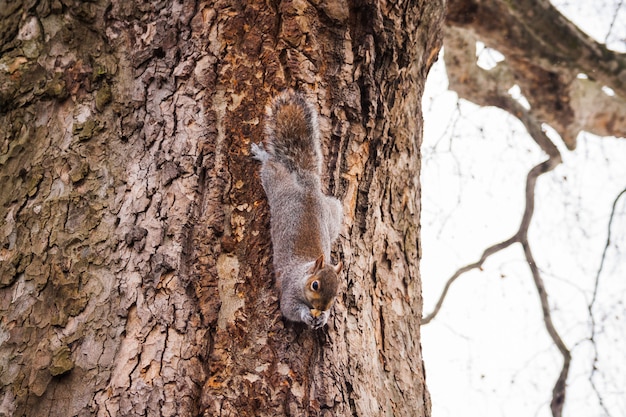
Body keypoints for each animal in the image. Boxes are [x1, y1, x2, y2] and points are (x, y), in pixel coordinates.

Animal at [251, 90, 344, 328]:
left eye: (337, 292)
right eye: (315, 285)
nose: (322, 308)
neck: (304, 272)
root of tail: (306, 181)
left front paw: (323, 318)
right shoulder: (290, 291)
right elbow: (290, 309)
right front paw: (306, 315)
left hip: (332, 212)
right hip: (276, 182)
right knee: (271, 166)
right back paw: (262, 155)